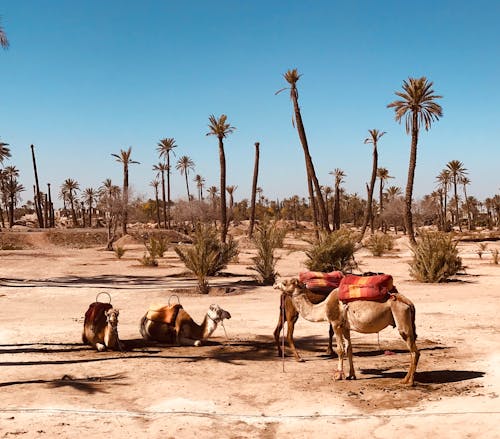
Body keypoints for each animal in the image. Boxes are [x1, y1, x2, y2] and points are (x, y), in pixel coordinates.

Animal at [276, 276, 420, 386]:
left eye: (285, 282)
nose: (275, 284)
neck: (323, 308)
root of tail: (409, 303)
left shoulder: (336, 324)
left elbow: (340, 349)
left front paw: (338, 375)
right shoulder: (346, 327)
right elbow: (349, 348)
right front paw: (351, 375)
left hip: (401, 316)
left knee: (414, 351)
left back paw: (408, 382)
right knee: (413, 350)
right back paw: (406, 380)